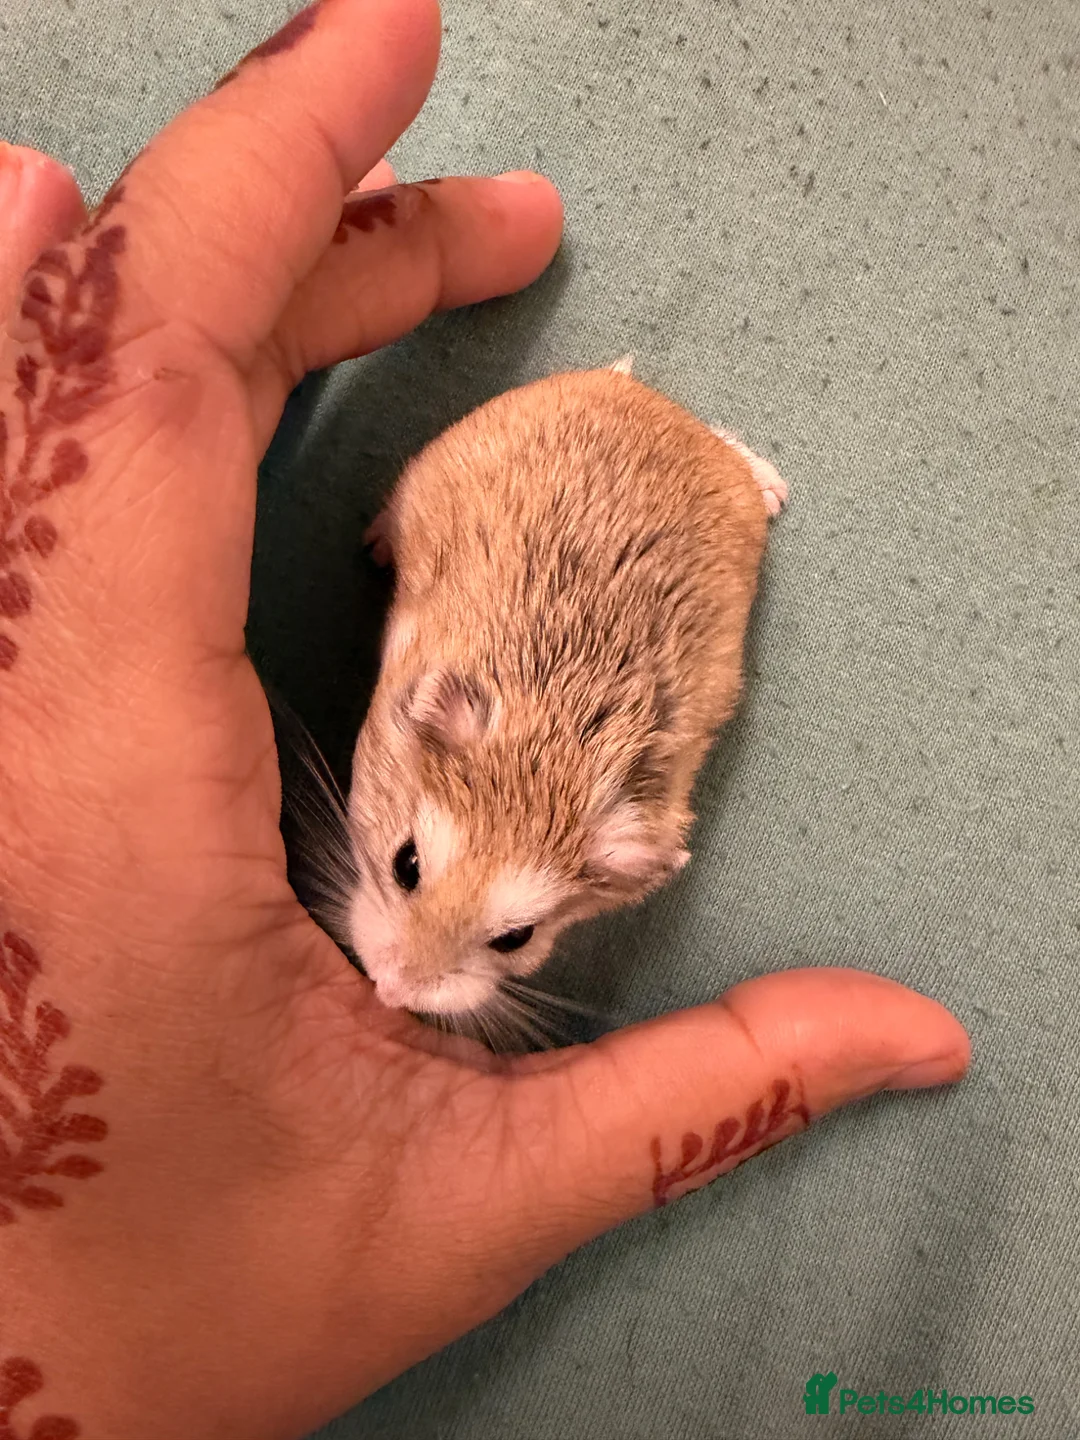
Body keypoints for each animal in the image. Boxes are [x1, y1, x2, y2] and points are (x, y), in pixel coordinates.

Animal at [345, 358, 786, 1017]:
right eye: (405, 864)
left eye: (517, 938)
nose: (390, 992)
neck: (555, 756)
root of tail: (659, 405)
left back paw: (772, 486)